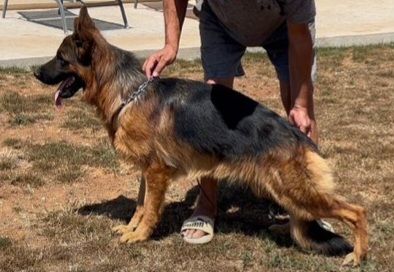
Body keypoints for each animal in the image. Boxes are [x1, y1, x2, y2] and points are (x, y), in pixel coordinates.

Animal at [35, 7, 368, 266]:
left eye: (60, 58)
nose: (36, 73)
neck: (127, 92)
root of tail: (300, 137)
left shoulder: (156, 173)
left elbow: (150, 209)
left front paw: (140, 235)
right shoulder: (146, 172)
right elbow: (140, 205)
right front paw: (131, 228)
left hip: (297, 190)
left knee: (356, 211)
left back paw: (358, 254)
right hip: (282, 190)